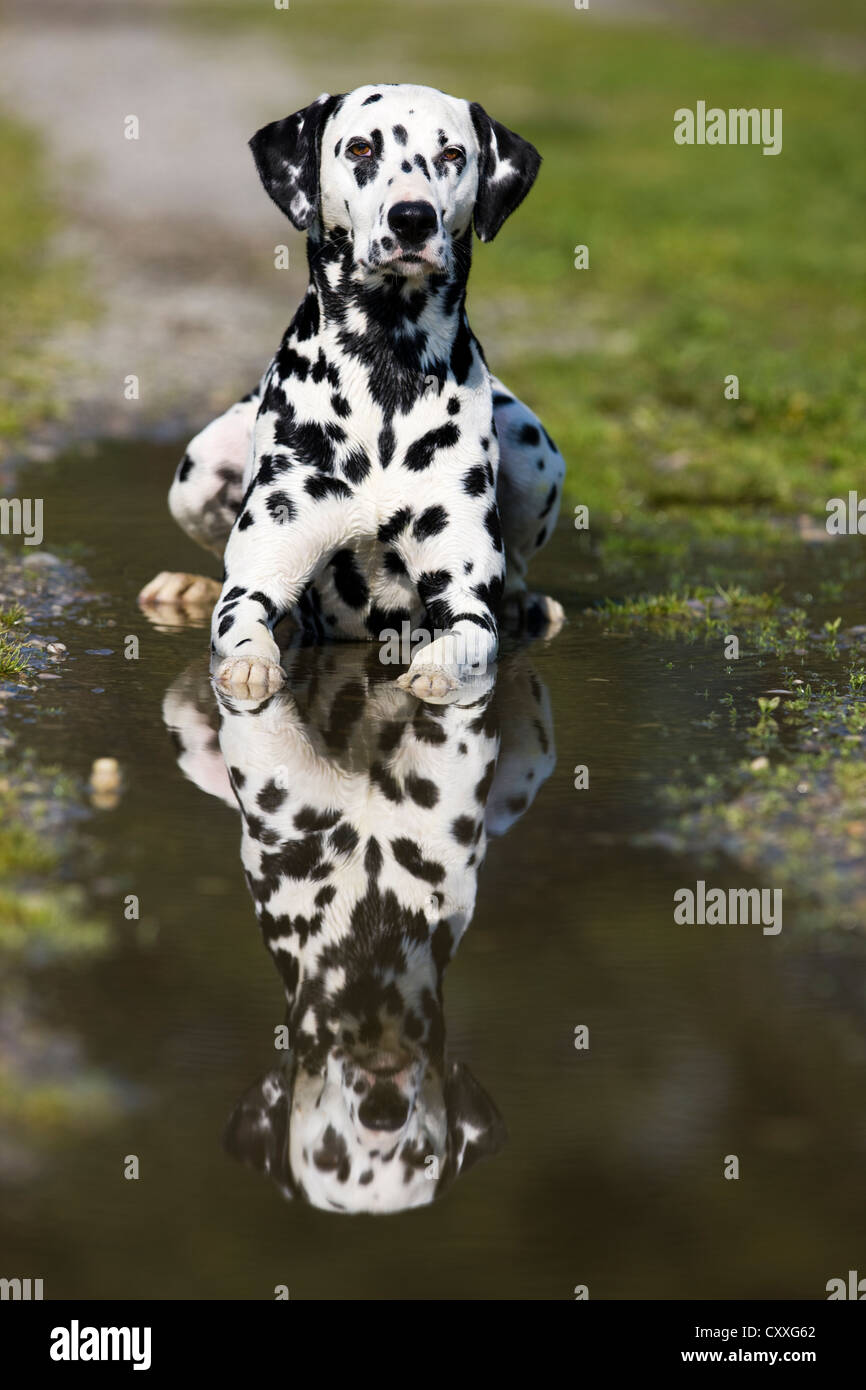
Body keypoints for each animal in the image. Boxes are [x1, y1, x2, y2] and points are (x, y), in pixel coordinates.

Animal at [139, 81, 567, 700]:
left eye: (453, 154)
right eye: (362, 148)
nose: (412, 218)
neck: (384, 368)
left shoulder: (464, 599)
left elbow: (464, 636)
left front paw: (438, 669)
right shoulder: (256, 581)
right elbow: (243, 624)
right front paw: (251, 664)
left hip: (534, 454)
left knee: (519, 576)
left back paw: (527, 604)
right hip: (196, 471)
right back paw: (186, 584)